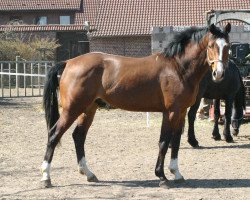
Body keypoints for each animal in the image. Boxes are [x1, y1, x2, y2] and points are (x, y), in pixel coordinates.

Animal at [40, 23, 230, 188]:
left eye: (227, 46)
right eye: (211, 45)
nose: (219, 74)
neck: (178, 68)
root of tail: (68, 63)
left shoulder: (181, 112)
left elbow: (175, 141)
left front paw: (176, 173)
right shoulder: (170, 112)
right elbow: (164, 142)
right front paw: (161, 176)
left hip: (88, 109)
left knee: (78, 136)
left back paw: (88, 173)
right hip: (72, 109)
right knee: (54, 135)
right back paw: (46, 177)